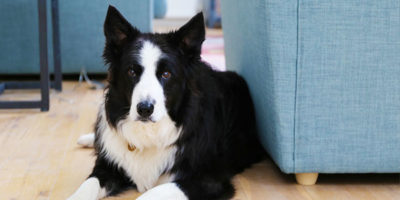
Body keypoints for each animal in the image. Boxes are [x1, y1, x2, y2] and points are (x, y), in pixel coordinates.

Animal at [68, 6, 266, 200]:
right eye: (132, 71)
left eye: (166, 74)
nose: (145, 109)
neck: (150, 133)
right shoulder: (106, 168)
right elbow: (88, 185)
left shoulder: (208, 180)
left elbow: (153, 193)